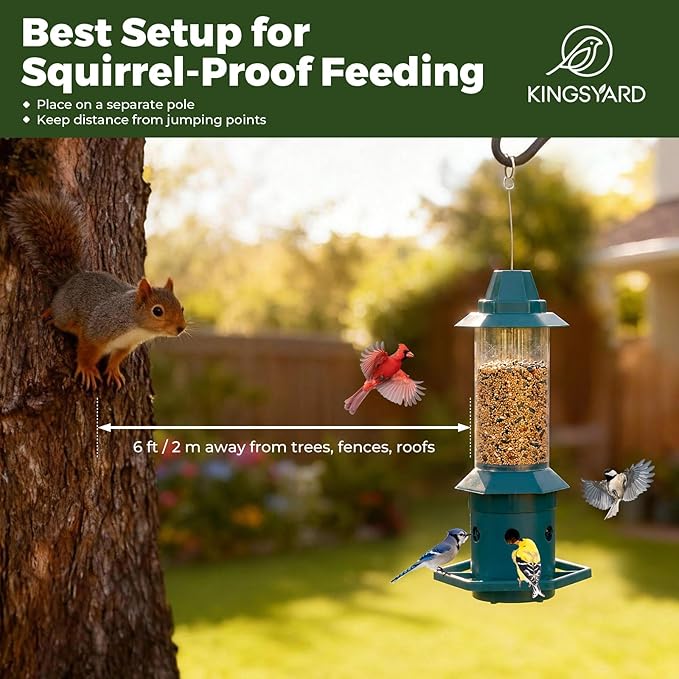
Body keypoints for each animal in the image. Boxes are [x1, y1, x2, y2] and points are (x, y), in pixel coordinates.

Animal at [6, 187, 186, 390]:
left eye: (182, 307)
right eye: (157, 311)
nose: (181, 328)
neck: (135, 325)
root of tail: (71, 279)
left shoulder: (124, 346)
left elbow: (116, 359)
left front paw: (114, 371)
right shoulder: (96, 331)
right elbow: (86, 352)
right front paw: (87, 370)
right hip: (66, 314)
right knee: (59, 318)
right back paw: (50, 313)